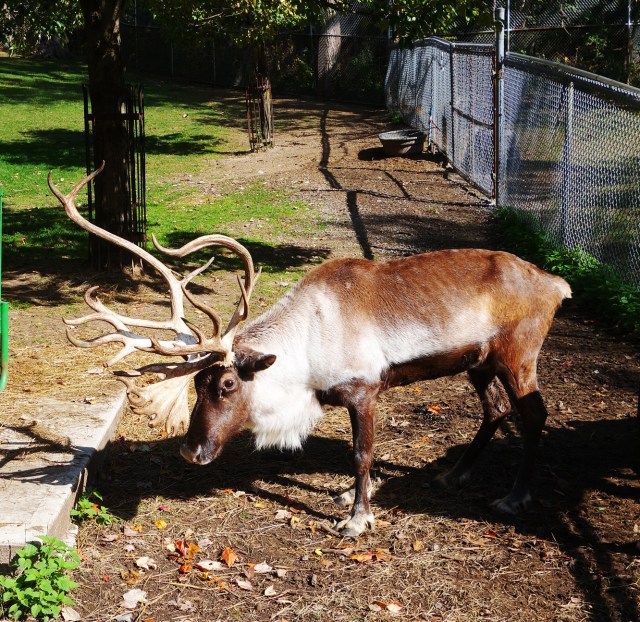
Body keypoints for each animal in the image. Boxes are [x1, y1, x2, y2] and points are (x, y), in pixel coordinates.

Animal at [50, 167, 572, 537]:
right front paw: (349, 497)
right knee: (496, 410)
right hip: (478, 363)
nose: (190, 451)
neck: (306, 344)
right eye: (196, 382)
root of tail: (554, 283)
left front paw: (357, 518)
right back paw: (453, 476)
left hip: (516, 356)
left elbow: (361, 454)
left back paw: (514, 497)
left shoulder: (364, 391)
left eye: (228, 382)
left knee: (533, 415)